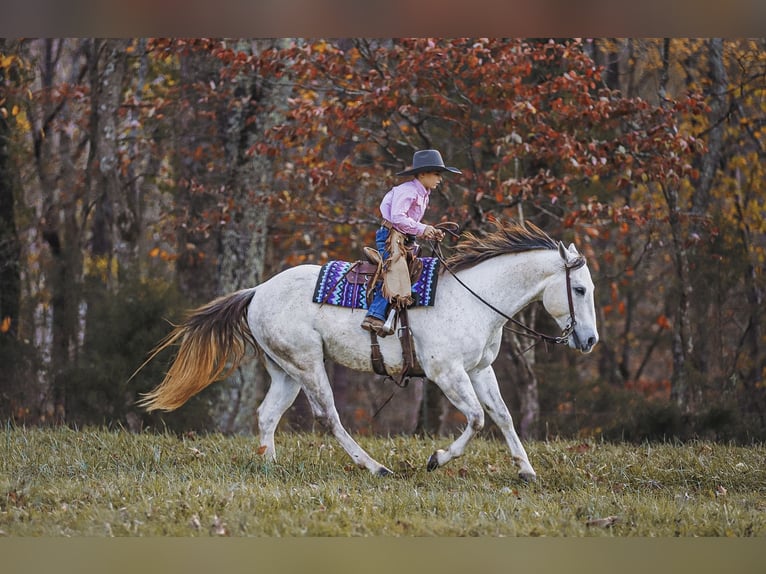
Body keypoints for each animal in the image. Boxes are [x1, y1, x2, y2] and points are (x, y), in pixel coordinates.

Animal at [138, 223, 600, 484]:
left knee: (267, 415)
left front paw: (526, 470)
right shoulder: (447, 373)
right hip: (309, 366)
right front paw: (436, 459)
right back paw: (376, 467)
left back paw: (270, 466)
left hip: (286, 370)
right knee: (330, 418)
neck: (474, 298)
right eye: (579, 289)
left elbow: (501, 417)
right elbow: (476, 419)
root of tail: (257, 291)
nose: (590, 340)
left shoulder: (480, 370)